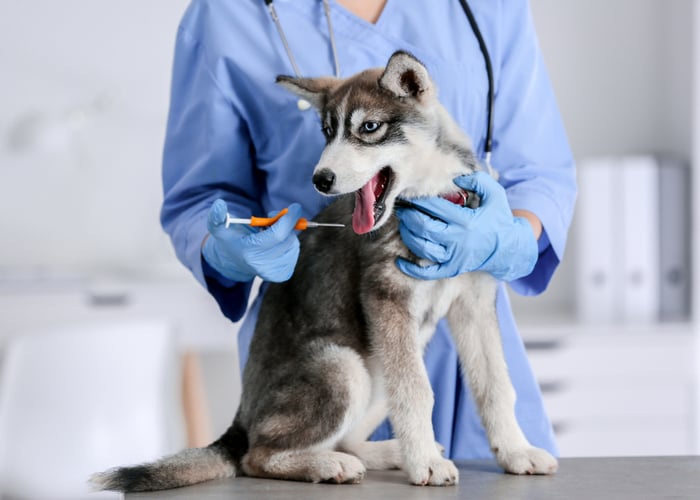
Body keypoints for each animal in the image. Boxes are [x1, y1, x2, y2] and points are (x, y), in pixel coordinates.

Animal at [91, 51, 556, 492]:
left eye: (369, 127)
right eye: (327, 132)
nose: (320, 179)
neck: (432, 198)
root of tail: (239, 424)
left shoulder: (474, 302)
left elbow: (496, 386)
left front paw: (515, 451)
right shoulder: (387, 297)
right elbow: (418, 392)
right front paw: (425, 462)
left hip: (376, 368)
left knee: (343, 436)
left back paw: (384, 453)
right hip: (345, 367)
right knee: (257, 457)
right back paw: (331, 464)